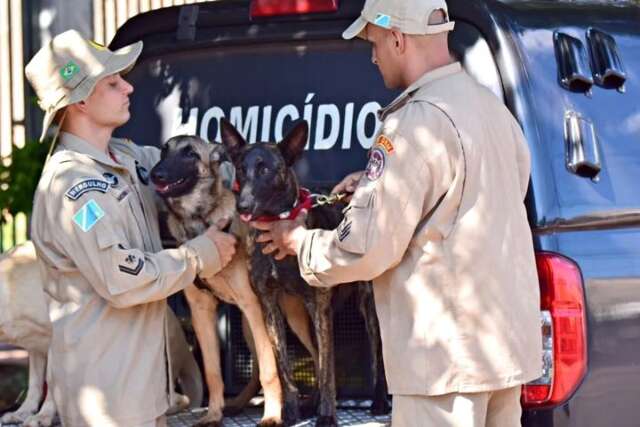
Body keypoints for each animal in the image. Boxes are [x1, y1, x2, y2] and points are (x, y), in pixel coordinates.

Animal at [220, 118, 390, 427]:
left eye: (265, 169)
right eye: (240, 168)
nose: (242, 206)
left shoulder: (319, 306)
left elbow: (327, 368)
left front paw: (327, 415)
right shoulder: (270, 305)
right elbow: (284, 366)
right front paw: (289, 411)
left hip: (365, 306)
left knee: (373, 353)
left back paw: (379, 400)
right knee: (317, 355)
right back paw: (310, 403)